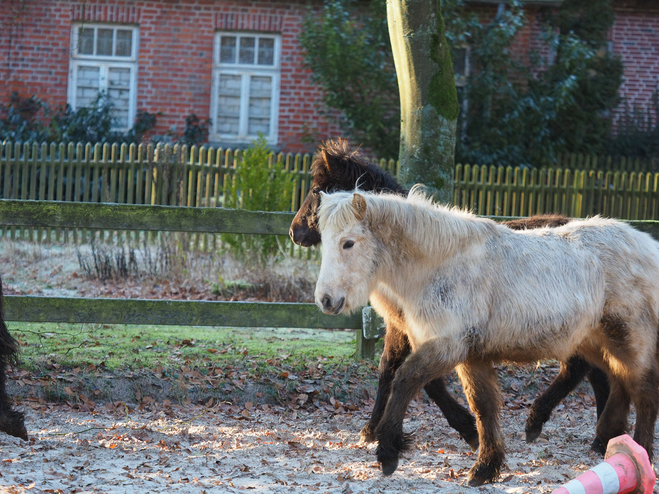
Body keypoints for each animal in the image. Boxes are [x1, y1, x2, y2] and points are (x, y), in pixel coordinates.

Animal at [292, 138, 612, 448]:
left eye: (317, 190)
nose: (295, 232)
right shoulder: (401, 326)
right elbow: (388, 370)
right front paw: (372, 430)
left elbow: (422, 379)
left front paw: (467, 428)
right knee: (597, 372)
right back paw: (601, 435)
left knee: (581, 369)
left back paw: (560, 427)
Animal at [314, 189, 659, 486]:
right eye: (324, 241)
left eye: (348, 243)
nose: (326, 300)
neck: (441, 263)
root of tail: (648, 246)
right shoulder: (472, 356)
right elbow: (483, 407)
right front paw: (485, 466)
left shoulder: (448, 347)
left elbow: (404, 380)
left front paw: (387, 452)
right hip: (598, 343)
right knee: (618, 383)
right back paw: (606, 438)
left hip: (629, 339)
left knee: (643, 393)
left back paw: (639, 453)